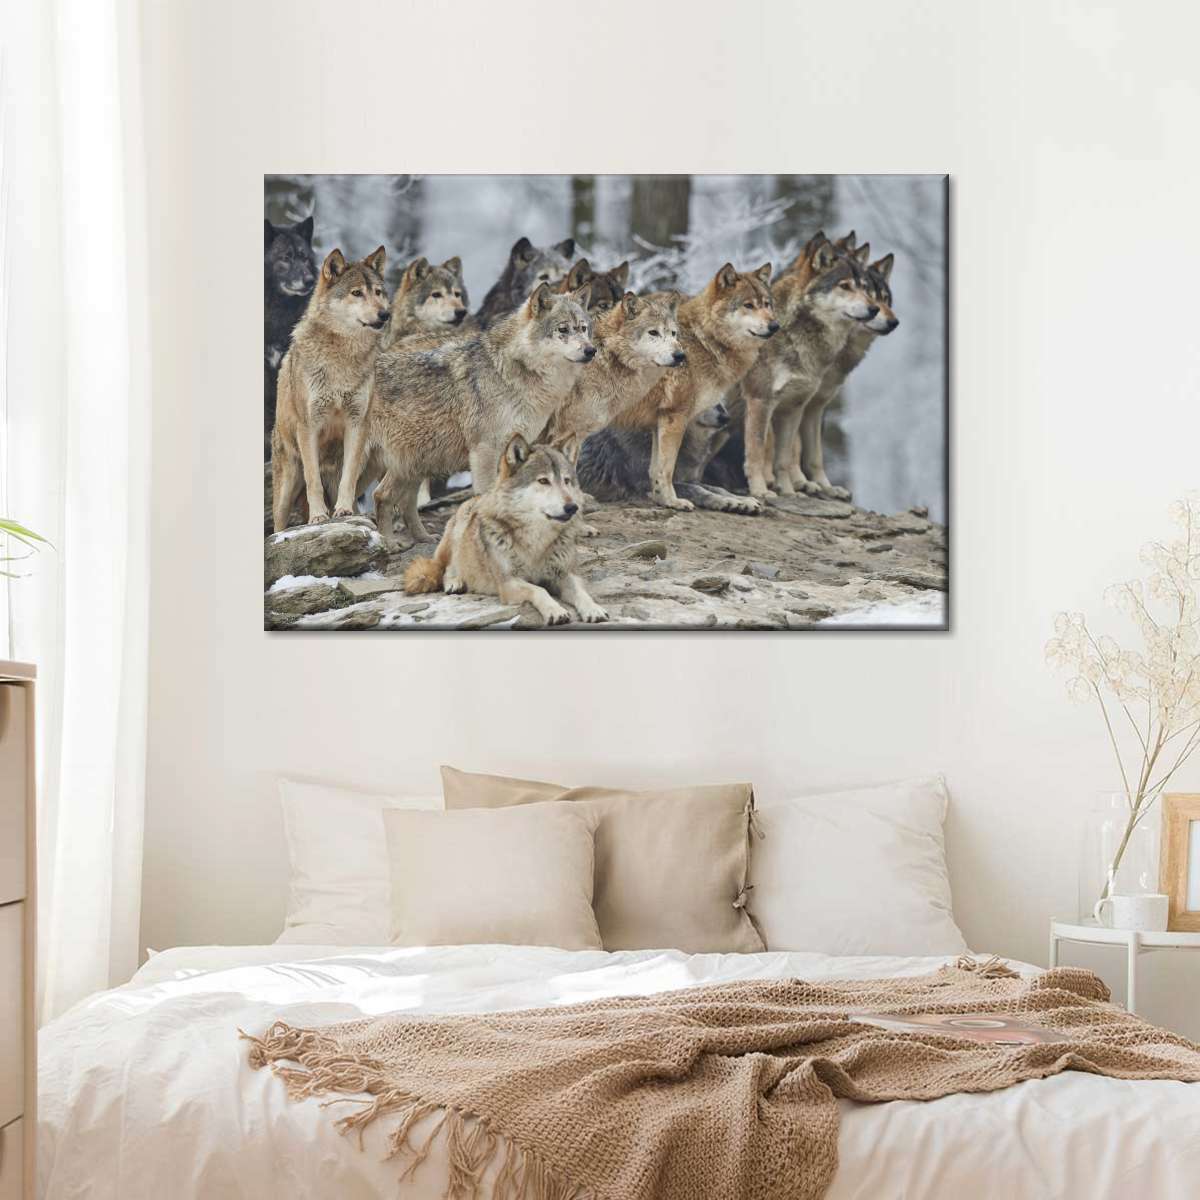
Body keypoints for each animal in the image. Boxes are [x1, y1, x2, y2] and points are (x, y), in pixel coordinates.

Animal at [271, 246, 390, 532]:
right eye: (356, 293)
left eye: (378, 292)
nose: (384, 314)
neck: (342, 357)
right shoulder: (309, 426)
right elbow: (313, 480)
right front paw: (317, 517)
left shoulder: (358, 423)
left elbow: (349, 478)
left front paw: (344, 511)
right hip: (286, 486)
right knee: (278, 525)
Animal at [370, 282, 595, 543]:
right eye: (563, 329)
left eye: (583, 328)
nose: (591, 350)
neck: (512, 371)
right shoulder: (484, 450)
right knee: (381, 495)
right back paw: (388, 542)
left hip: (416, 461)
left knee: (390, 497)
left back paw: (422, 537)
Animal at [403, 434, 607, 626]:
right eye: (543, 481)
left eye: (566, 481)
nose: (572, 507)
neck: (536, 541)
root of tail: (474, 498)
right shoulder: (508, 583)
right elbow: (539, 590)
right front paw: (556, 611)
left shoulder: (564, 574)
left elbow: (581, 592)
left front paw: (594, 609)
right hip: (459, 529)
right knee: (447, 566)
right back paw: (455, 582)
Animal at [607, 262, 779, 510]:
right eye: (748, 305)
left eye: (766, 304)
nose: (775, 325)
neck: (705, 340)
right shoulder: (675, 416)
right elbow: (667, 469)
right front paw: (673, 501)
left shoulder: (660, 420)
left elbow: (658, 470)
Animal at [735, 234, 877, 498]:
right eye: (845, 286)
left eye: (865, 287)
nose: (874, 309)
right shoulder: (760, 401)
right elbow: (758, 453)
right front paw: (760, 491)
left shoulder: (798, 406)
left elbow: (788, 457)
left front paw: (790, 492)